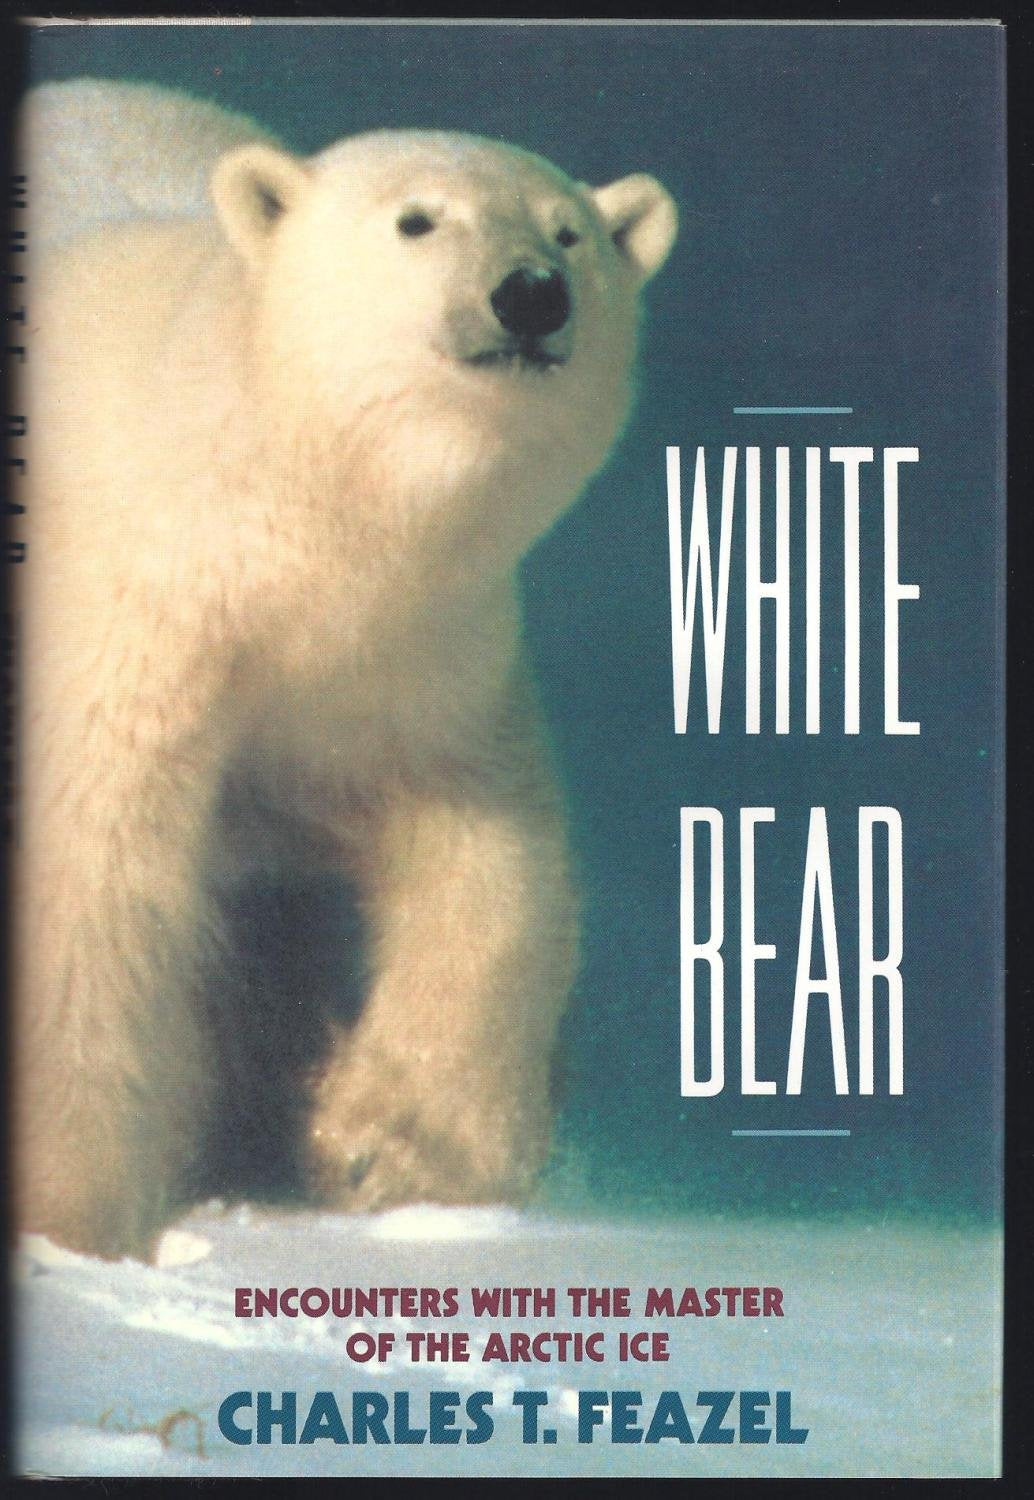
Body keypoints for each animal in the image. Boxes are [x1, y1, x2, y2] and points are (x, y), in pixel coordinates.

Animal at [15, 79, 677, 1259]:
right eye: (417, 220)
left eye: (569, 232)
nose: (529, 295)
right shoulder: (132, 616)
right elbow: (91, 871)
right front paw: (74, 1214)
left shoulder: (408, 662)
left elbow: (485, 858)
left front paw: (389, 1146)